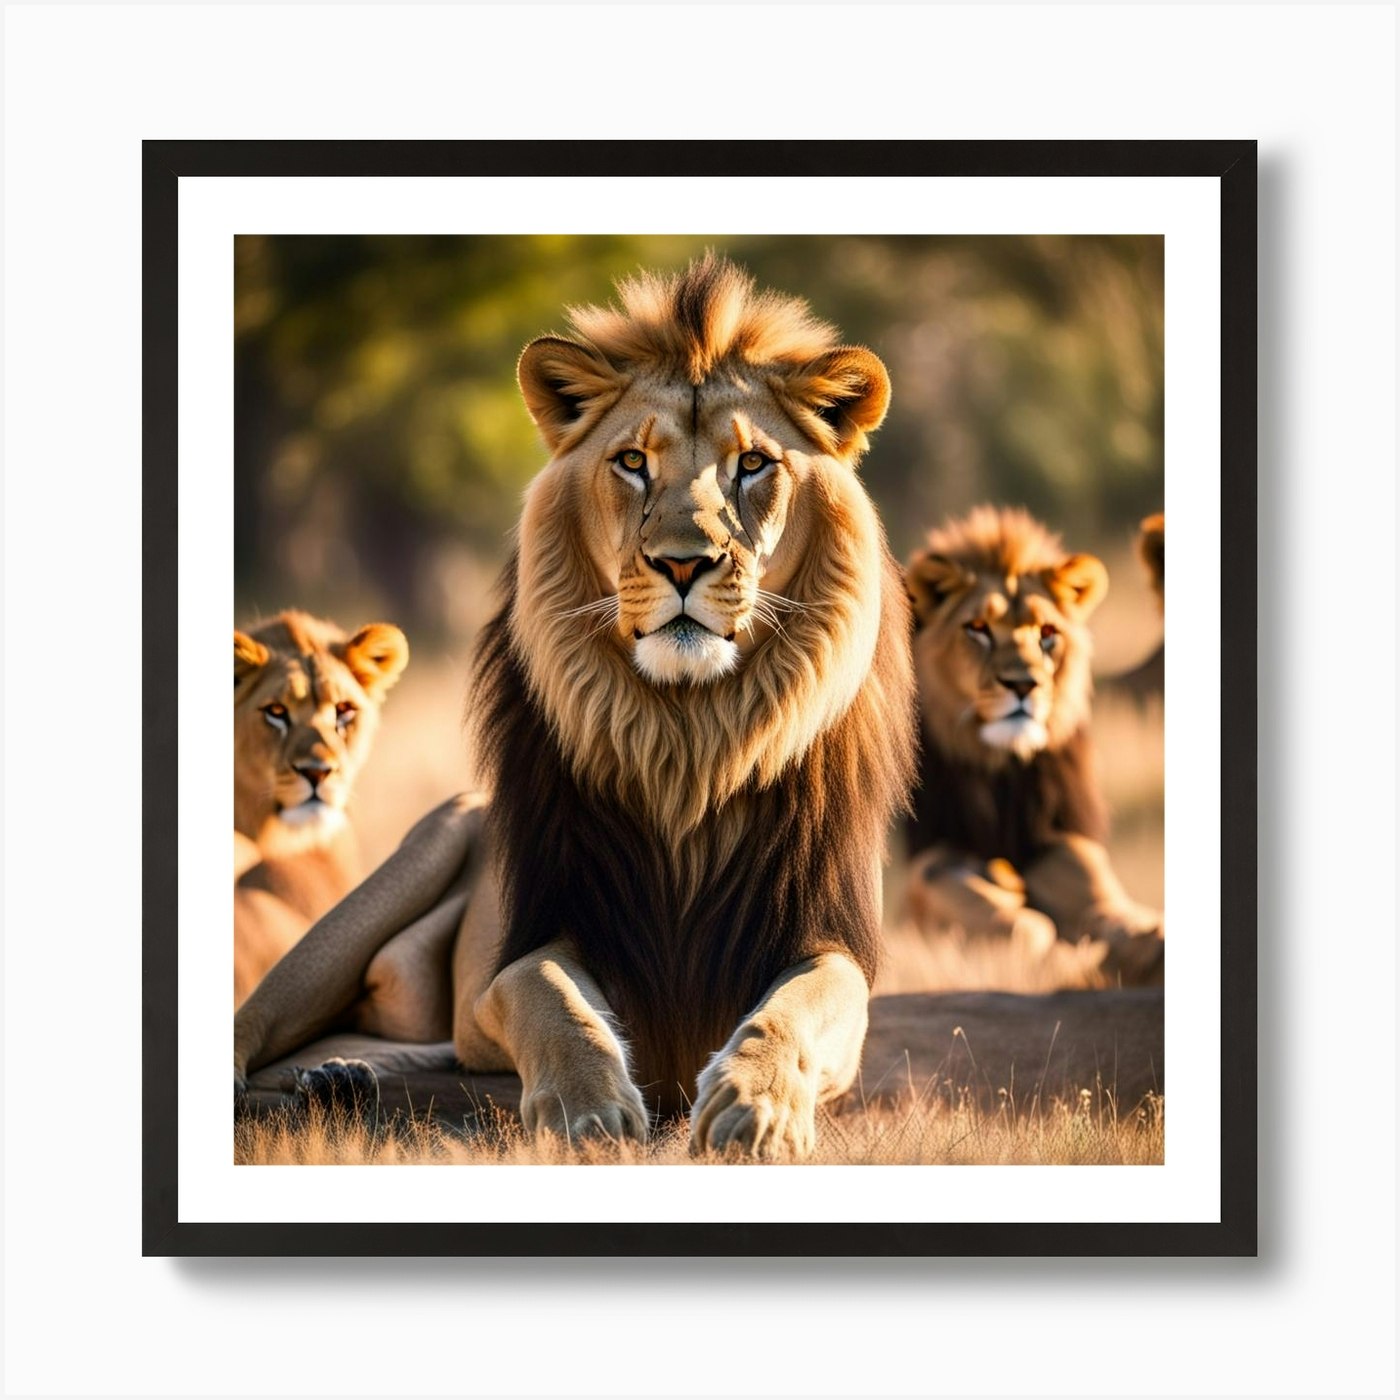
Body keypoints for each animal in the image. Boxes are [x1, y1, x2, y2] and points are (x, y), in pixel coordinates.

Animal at [903, 506, 1163, 983]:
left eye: (1047, 632)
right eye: (977, 629)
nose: (1025, 685)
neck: (1001, 771)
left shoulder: (1059, 845)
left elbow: (1107, 901)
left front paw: (1146, 939)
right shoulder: (926, 864)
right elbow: (1023, 925)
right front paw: (1064, 955)